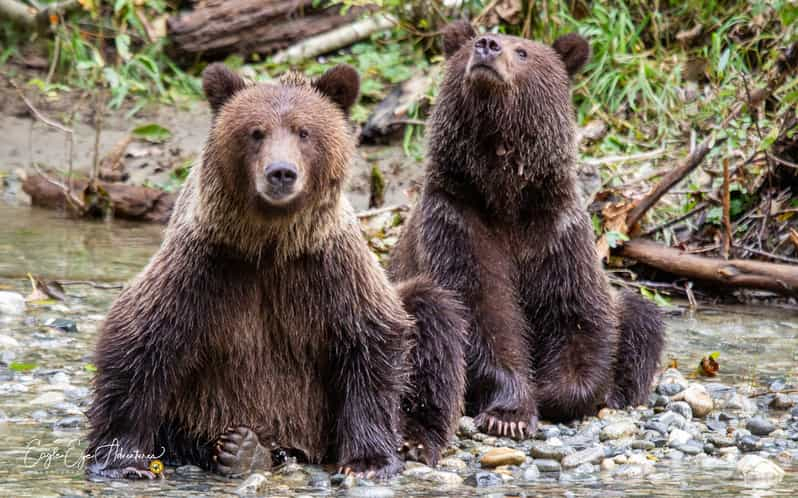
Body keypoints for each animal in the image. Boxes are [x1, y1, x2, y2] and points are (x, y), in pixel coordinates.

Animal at [88, 62, 472, 478]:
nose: (281, 172)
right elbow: (142, 340)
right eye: (256, 132)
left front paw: (368, 461)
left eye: (304, 132)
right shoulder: (207, 265)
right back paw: (241, 449)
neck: (270, 243)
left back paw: (412, 440)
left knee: (432, 312)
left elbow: (372, 340)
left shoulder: (329, 268)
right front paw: (123, 459)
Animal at [390, 21, 664, 438]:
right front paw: (510, 413)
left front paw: (558, 393)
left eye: (522, 51)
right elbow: (482, 311)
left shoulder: (556, 232)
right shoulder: (458, 223)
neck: (505, 198)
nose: (488, 46)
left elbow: (577, 313)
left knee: (640, 314)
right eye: (472, 42)